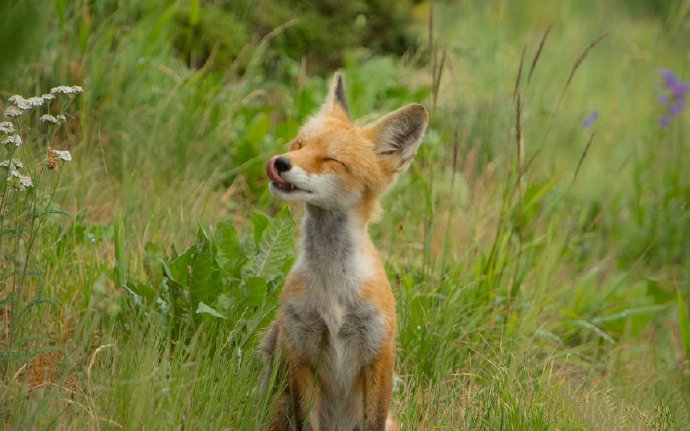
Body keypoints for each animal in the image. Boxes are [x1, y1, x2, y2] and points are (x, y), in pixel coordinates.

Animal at [260, 72, 428, 430]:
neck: (332, 290)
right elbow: (307, 421)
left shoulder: (378, 350)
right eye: (299, 145)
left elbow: (374, 419)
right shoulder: (300, 348)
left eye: (332, 160)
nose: (280, 162)